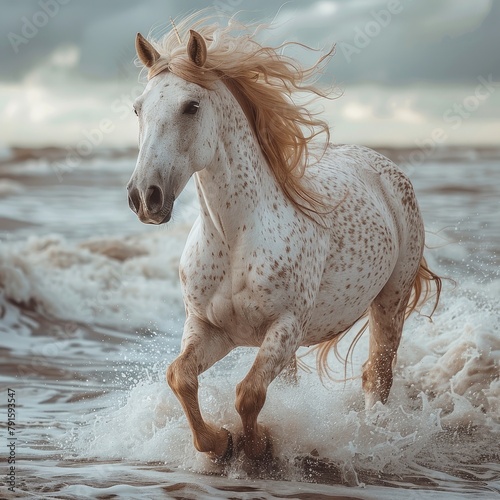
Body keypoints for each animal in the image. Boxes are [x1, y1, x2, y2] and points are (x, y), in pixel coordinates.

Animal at [126, 12, 442, 464]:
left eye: (191, 106)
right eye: (138, 108)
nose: (144, 196)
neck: (235, 237)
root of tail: (382, 166)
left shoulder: (286, 326)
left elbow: (248, 394)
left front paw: (259, 446)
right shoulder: (209, 328)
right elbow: (180, 376)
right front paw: (219, 443)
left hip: (390, 302)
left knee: (376, 377)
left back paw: (373, 437)